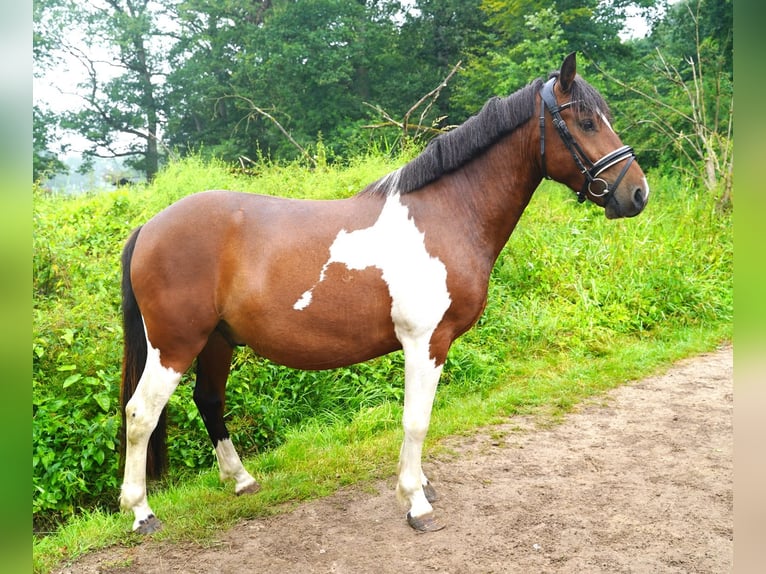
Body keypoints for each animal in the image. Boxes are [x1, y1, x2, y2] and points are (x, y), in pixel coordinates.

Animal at [118, 52, 649, 534]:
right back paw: (142, 512)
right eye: (586, 121)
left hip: (217, 341)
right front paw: (416, 503)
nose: (637, 193)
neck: (447, 213)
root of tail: (149, 227)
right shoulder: (425, 343)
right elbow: (416, 421)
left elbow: (420, 419)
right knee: (141, 414)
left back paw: (242, 480)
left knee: (208, 401)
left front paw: (422, 484)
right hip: (175, 346)